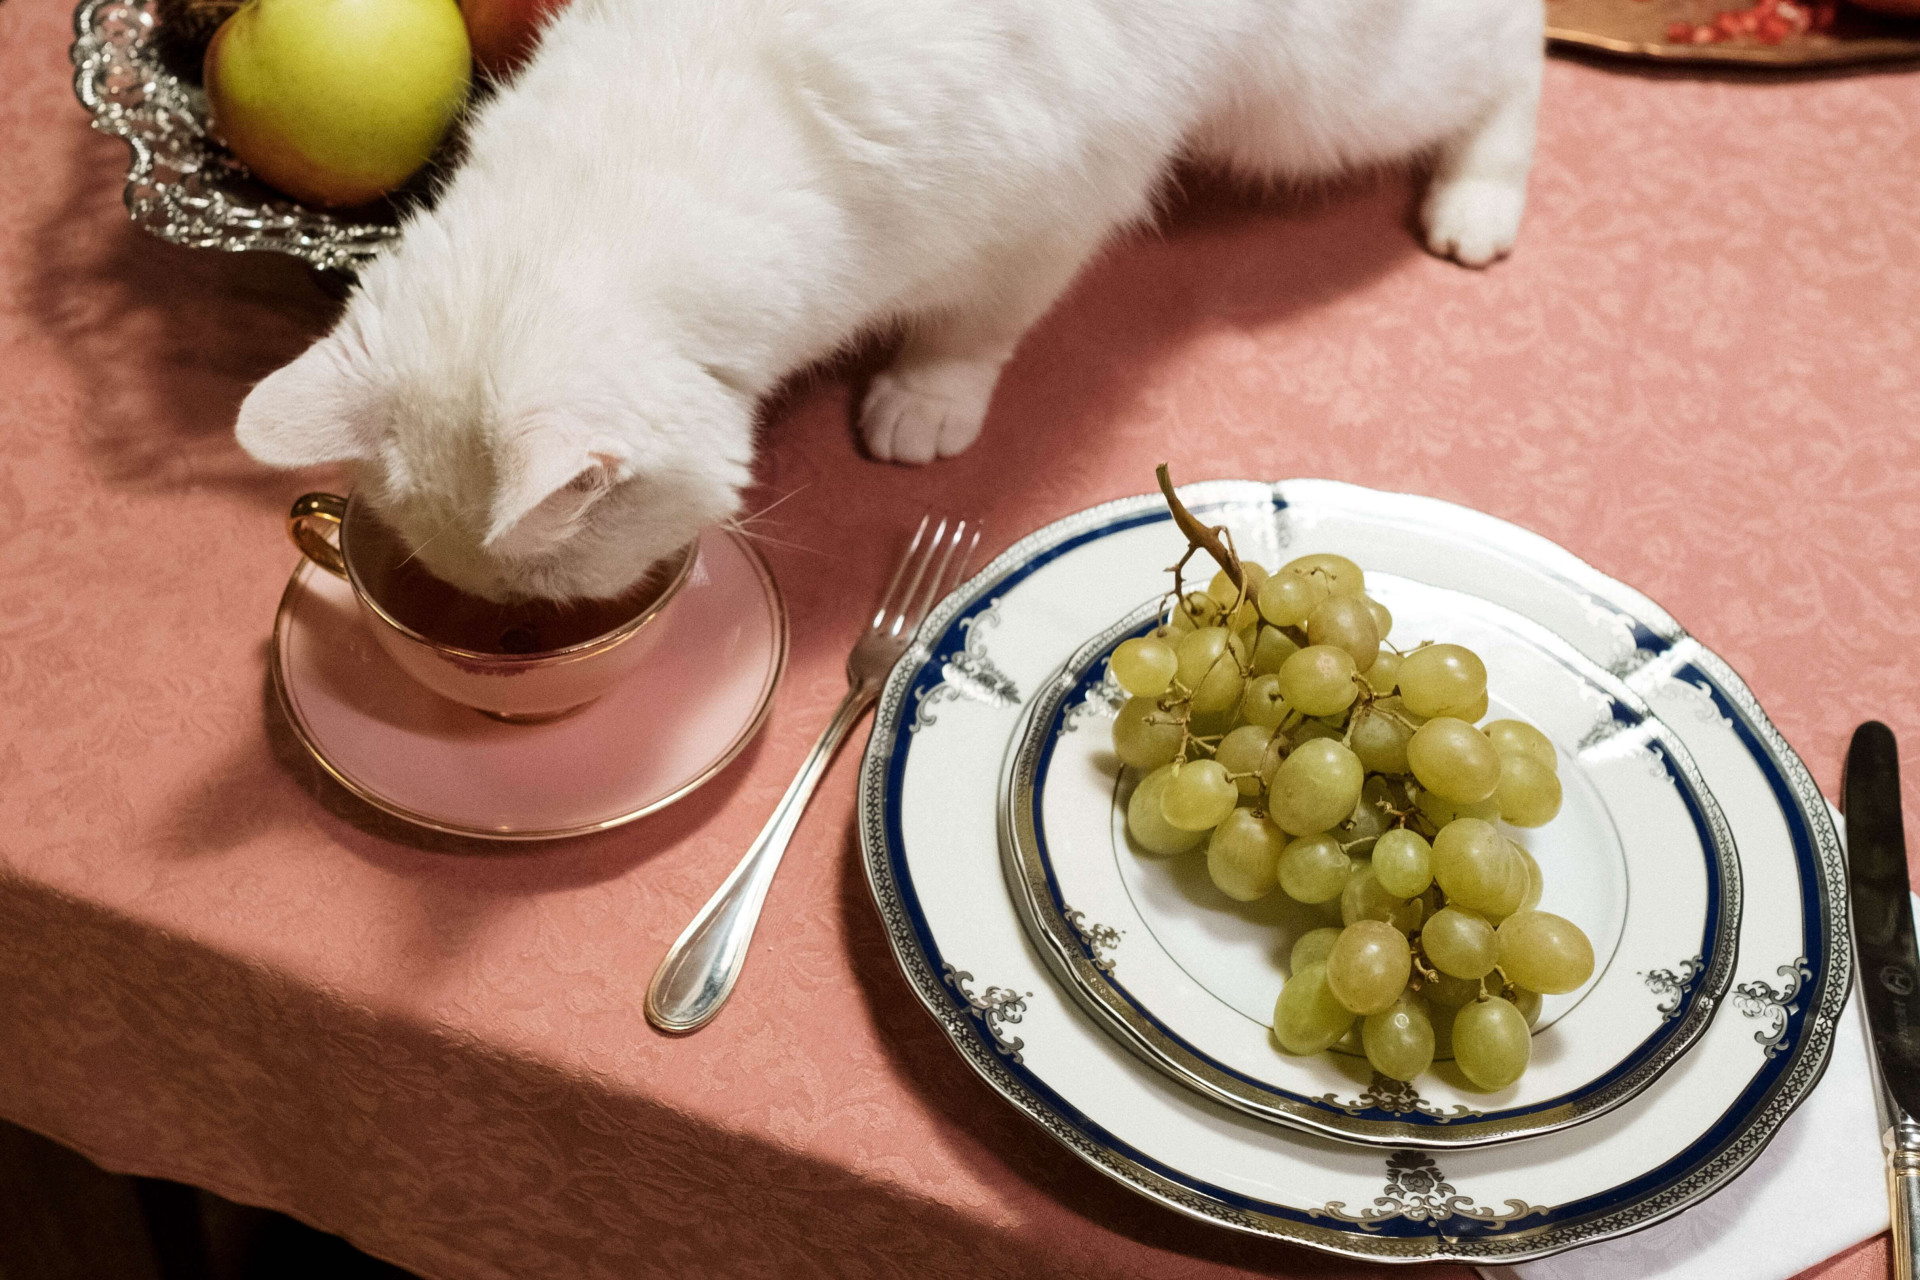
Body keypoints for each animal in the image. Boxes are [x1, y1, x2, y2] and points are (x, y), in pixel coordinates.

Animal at [236, 0, 1543, 606]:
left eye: (543, 589)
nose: (521, 627)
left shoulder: (1058, 208)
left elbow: (976, 328)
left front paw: (926, 400)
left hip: (1319, 102)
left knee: (1512, 51)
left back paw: (1477, 201)